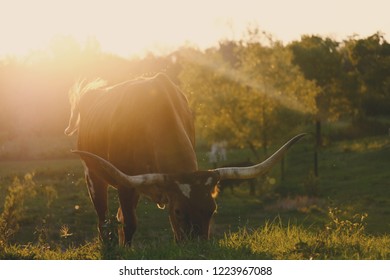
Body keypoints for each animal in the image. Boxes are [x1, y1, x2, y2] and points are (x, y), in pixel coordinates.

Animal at [65, 72, 306, 245]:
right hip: (93, 175)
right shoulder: (125, 184)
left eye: (212, 209)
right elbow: (130, 223)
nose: (196, 247)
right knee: (103, 218)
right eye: (179, 211)